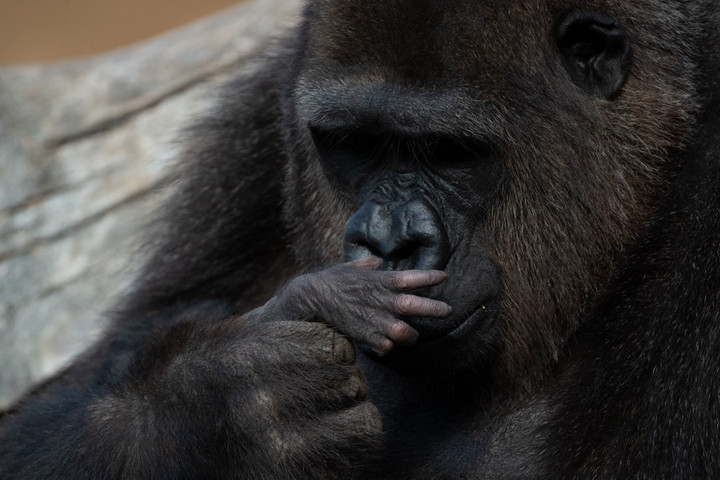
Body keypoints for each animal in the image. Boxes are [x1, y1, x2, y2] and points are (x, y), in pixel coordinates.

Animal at [2, 0, 720, 478]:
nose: (390, 243)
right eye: (355, 143)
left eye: (450, 153)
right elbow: (41, 417)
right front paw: (214, 412)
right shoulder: (261, 130)